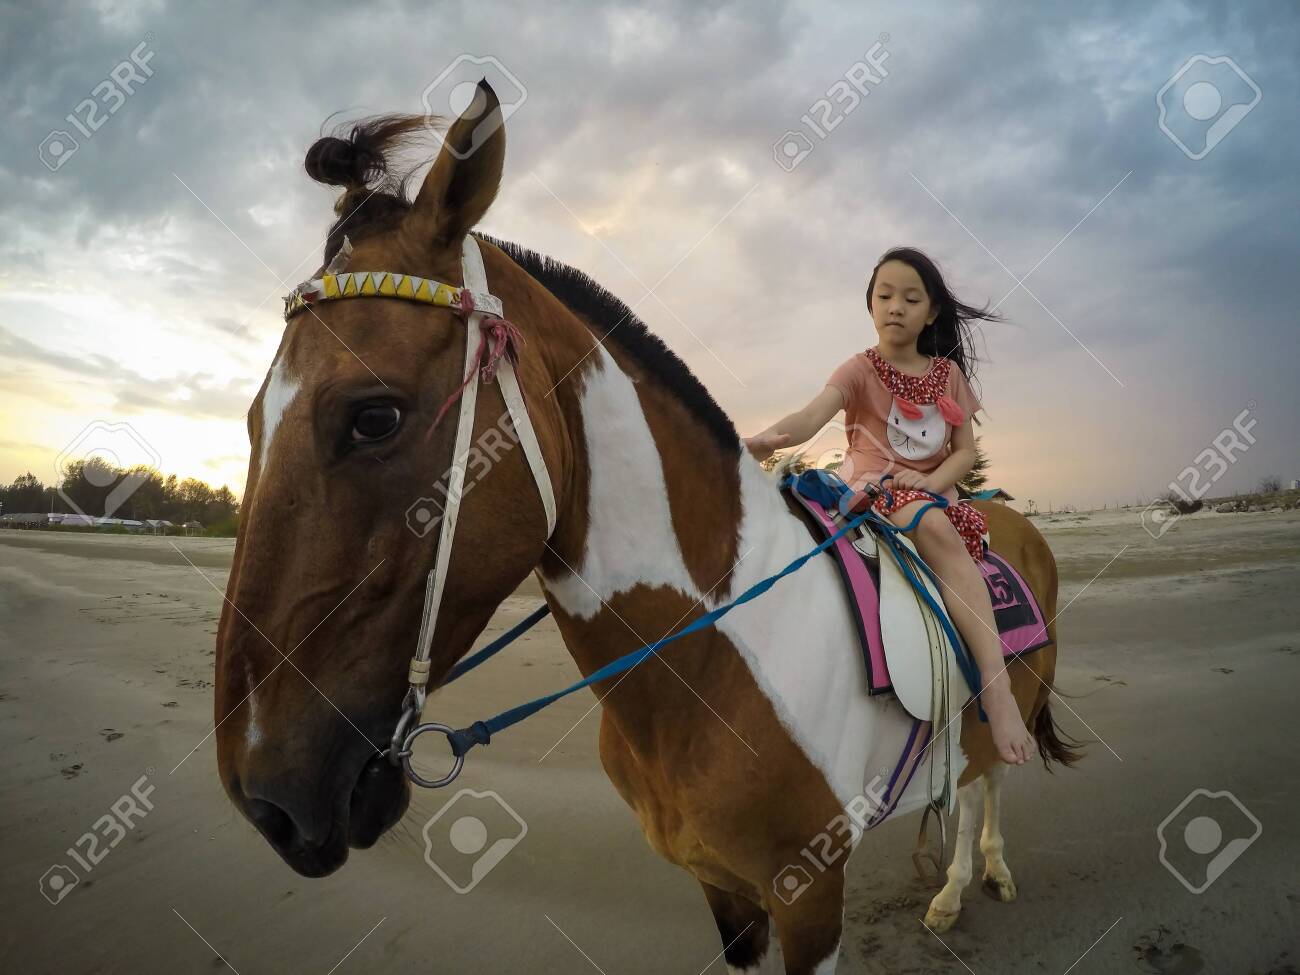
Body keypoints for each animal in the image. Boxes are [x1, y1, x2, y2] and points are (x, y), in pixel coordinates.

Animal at [213, 82, 1081, 974]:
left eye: (373, 416)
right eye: (250, 420)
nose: (267, 797)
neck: (717, 657)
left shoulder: (811, 895)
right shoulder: (723, 891)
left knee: (988, 779)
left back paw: (976, 875)